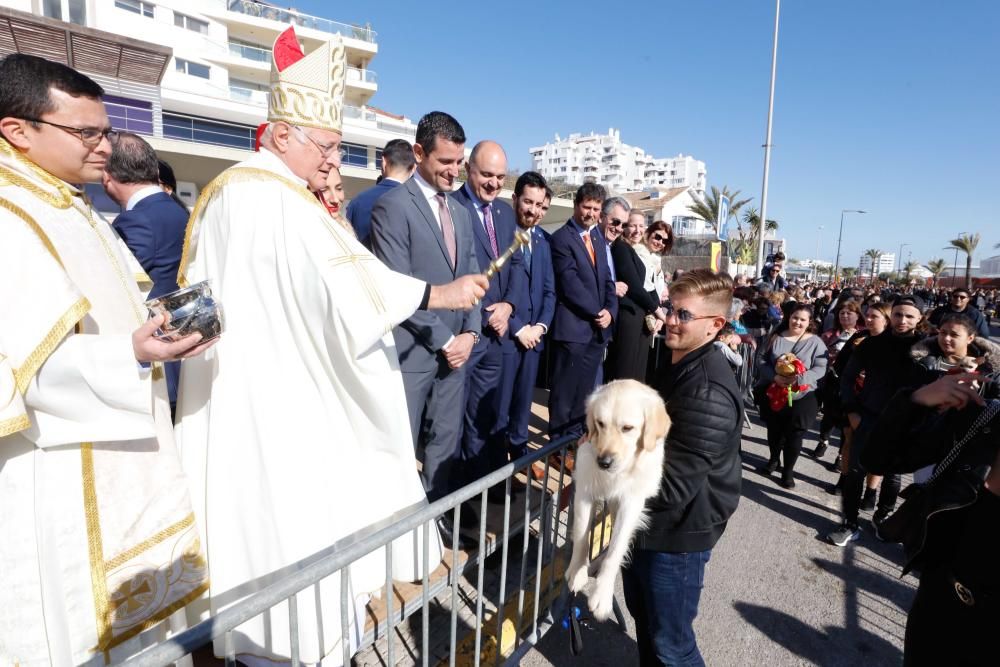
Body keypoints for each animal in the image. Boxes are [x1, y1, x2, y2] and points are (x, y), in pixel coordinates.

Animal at [568, 380, 668, 620]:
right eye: (600, 423)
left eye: (627, 428)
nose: (603, 462)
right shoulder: (585, 489)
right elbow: (582, 537)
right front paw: (577, 572)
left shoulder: (631, 501)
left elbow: (615, 550)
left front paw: (602, 595)